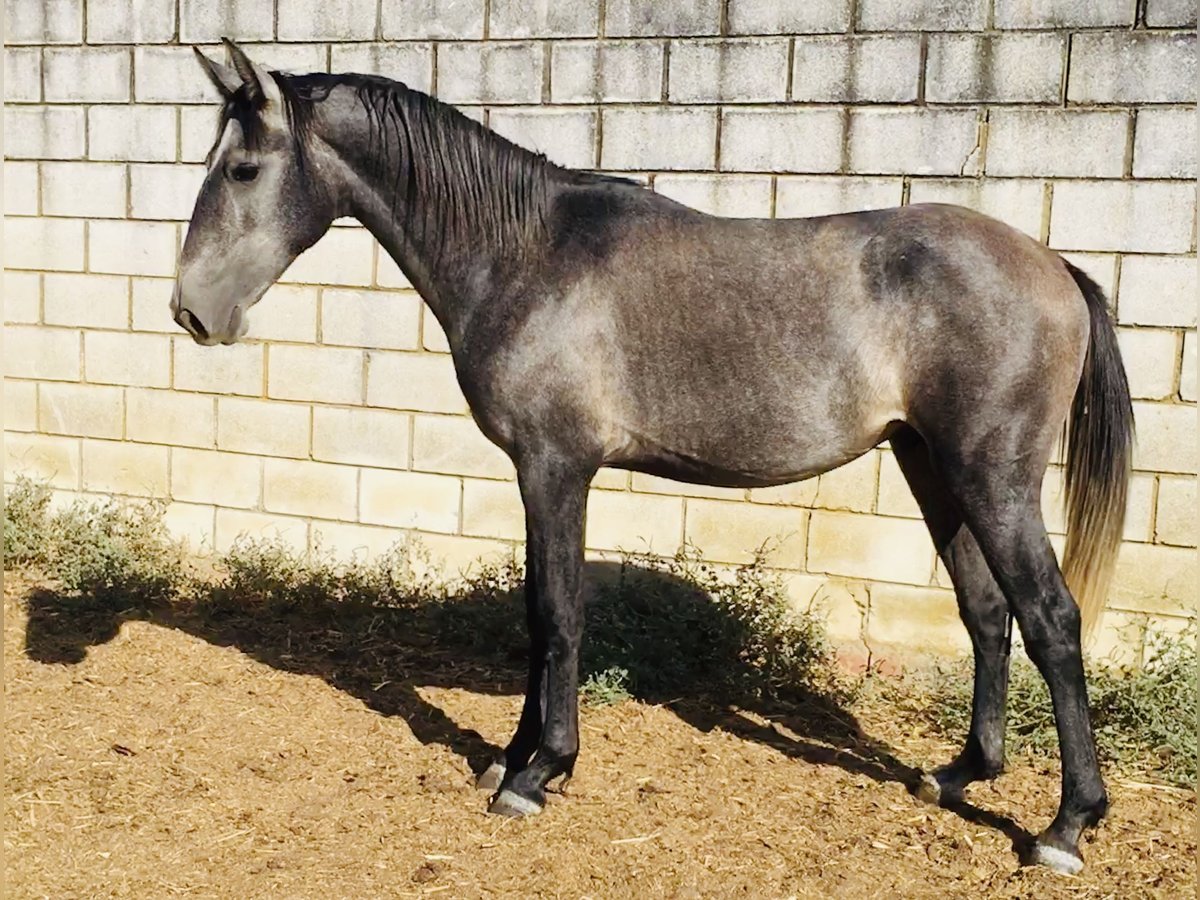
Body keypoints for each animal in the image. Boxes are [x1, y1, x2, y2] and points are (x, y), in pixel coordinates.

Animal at [174, 38, 1128, 878]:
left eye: (242, 170)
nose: (191, 312)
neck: (526, 252)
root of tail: (1054, 264)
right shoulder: (538, 475)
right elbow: (537, 616)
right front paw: (512, 754)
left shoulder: (554, 467)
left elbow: (558, 614)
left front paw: (539, 771)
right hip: (933, 466)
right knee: (987, 614)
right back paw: (961, 774)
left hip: (993, 479)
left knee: (1051, 619)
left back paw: (1066, 826)